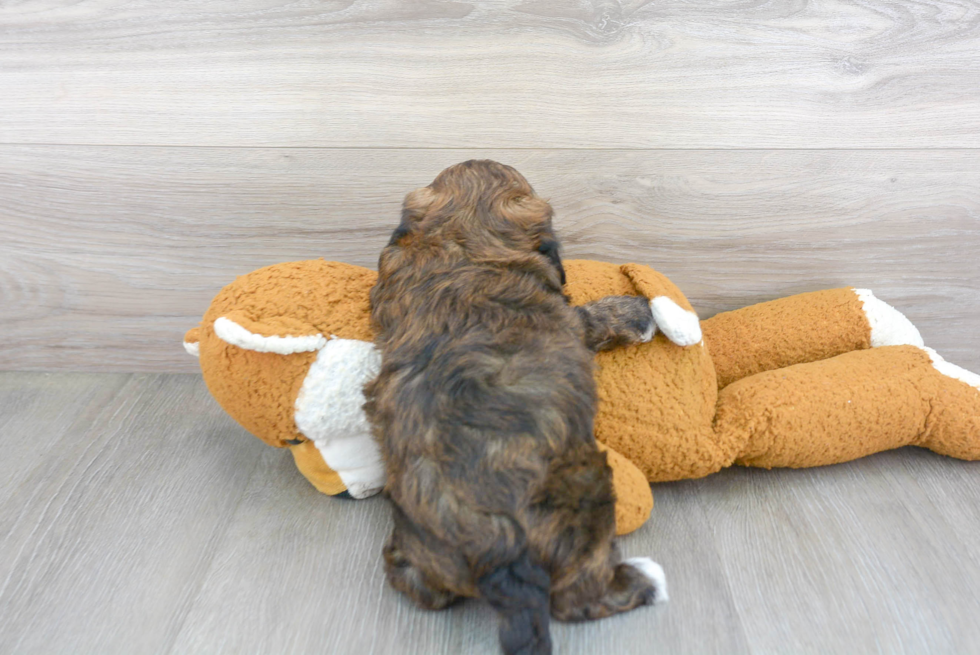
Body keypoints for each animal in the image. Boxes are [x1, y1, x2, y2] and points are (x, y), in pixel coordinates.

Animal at [366, 160, 668, 655]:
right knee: (578, 600)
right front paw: (638, 313)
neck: (464, 245)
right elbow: (595, 317)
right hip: (588, 502)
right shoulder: (572, 322)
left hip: (420, 554)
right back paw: (645, 580)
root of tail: (498, 552)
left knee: (419, 587)